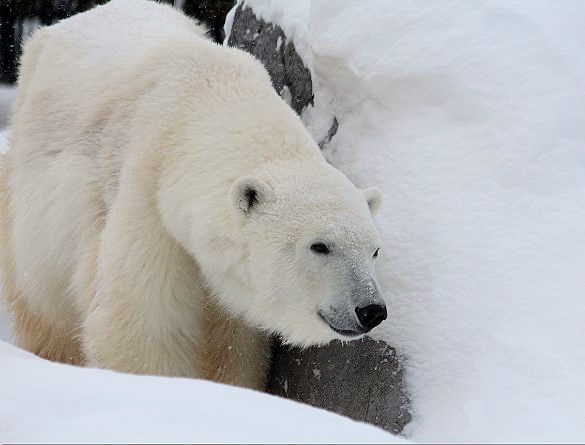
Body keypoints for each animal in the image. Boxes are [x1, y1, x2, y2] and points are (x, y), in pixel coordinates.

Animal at [1, 0, 388, 388]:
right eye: (320, 246)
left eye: (374, 250)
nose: (371, 310)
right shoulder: (150, 202)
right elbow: (142, 322)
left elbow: (233, 345)